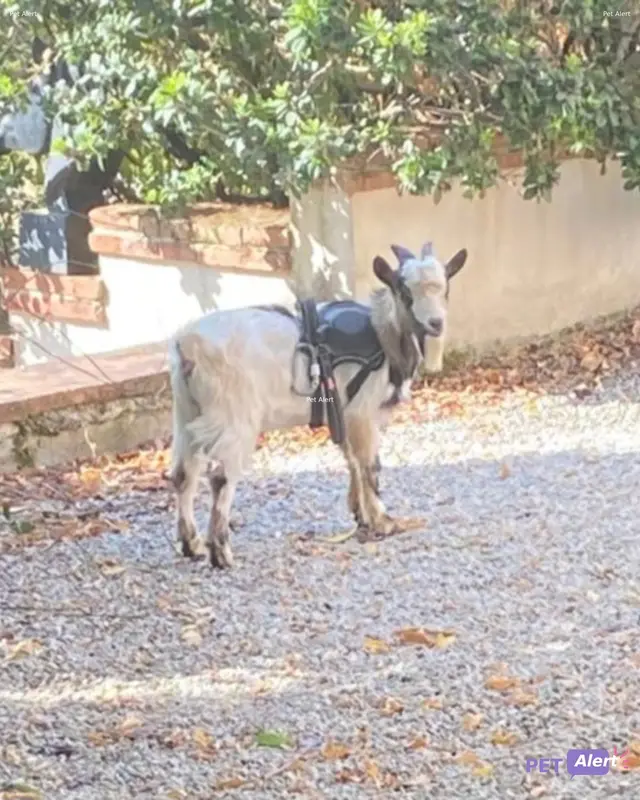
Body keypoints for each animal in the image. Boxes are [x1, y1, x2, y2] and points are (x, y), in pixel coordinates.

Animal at [168, 241, 467, 568]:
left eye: (446, 285)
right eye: (403, 289)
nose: (436, 323)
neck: (382, 334)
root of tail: (188, 346)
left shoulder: (344, 411)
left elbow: (352, 460)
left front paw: (361, 514)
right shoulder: (363, 410)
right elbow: (370, 463)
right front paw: (383, 521)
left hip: (187, 412)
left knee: (183, 474)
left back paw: (192, 544)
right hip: (234, 415)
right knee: (221, 476)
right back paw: (221, 553)